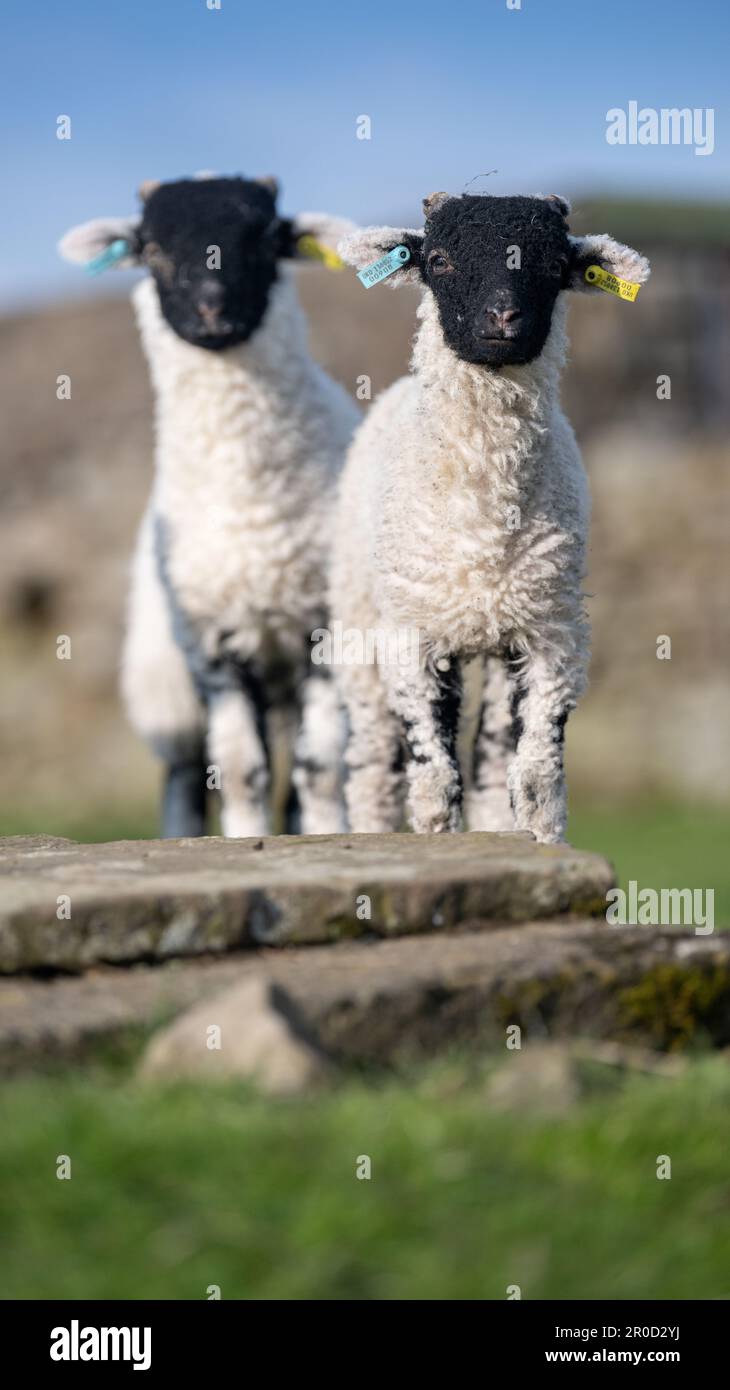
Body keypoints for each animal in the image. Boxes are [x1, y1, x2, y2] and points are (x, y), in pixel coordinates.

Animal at [329, 193, 647, 845]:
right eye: (439, 260)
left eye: (555, 265)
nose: (504, 318)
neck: (485, 523)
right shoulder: (413, 636)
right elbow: (432, 783)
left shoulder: (552, 634)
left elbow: (536, 783)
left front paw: (542, 843)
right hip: (358, 626)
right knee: (373, 768)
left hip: (507, 635)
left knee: (492, 761)